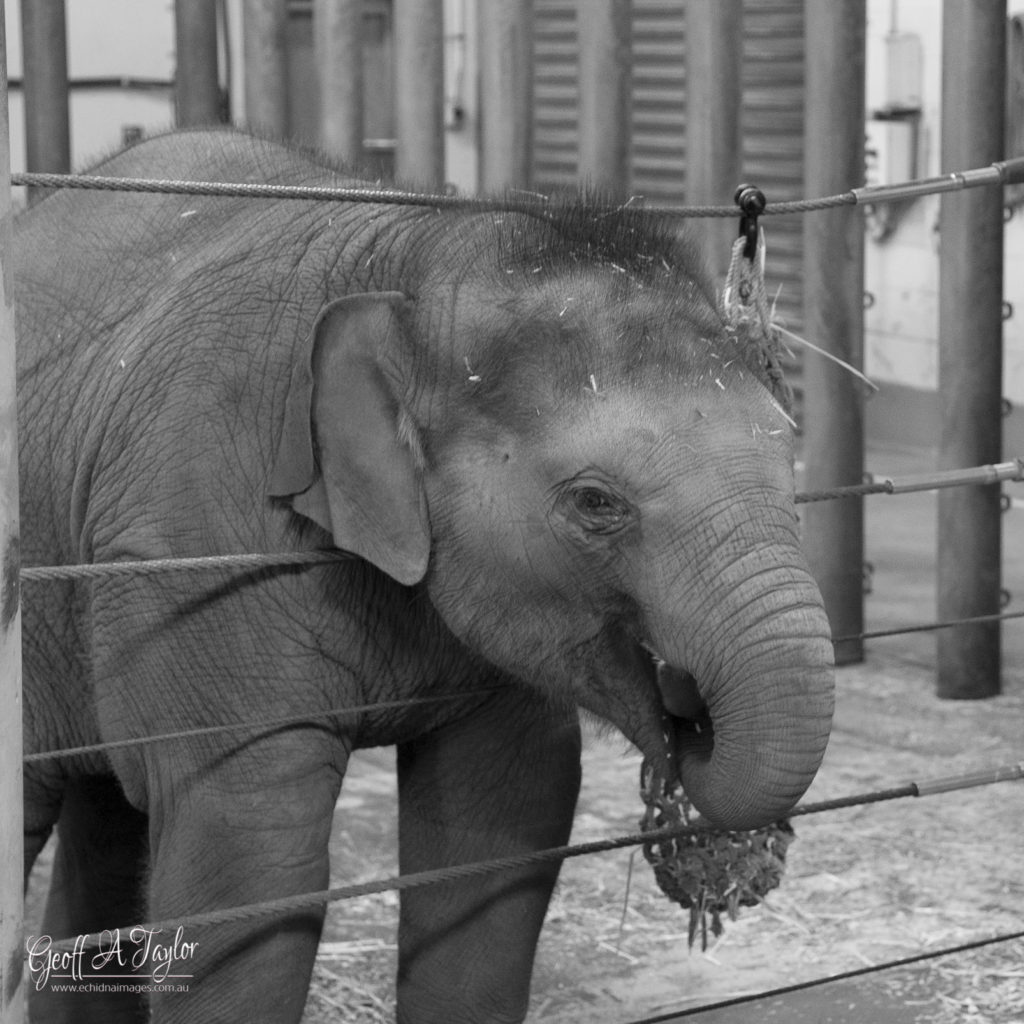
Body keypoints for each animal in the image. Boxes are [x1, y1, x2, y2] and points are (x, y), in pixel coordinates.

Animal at [14, 130, 831, 1024]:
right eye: (595, 503)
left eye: (790, 455)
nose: (691, 719)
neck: (415, 256)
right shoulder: (199, 555)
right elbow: (252, 856)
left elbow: (501, 827)